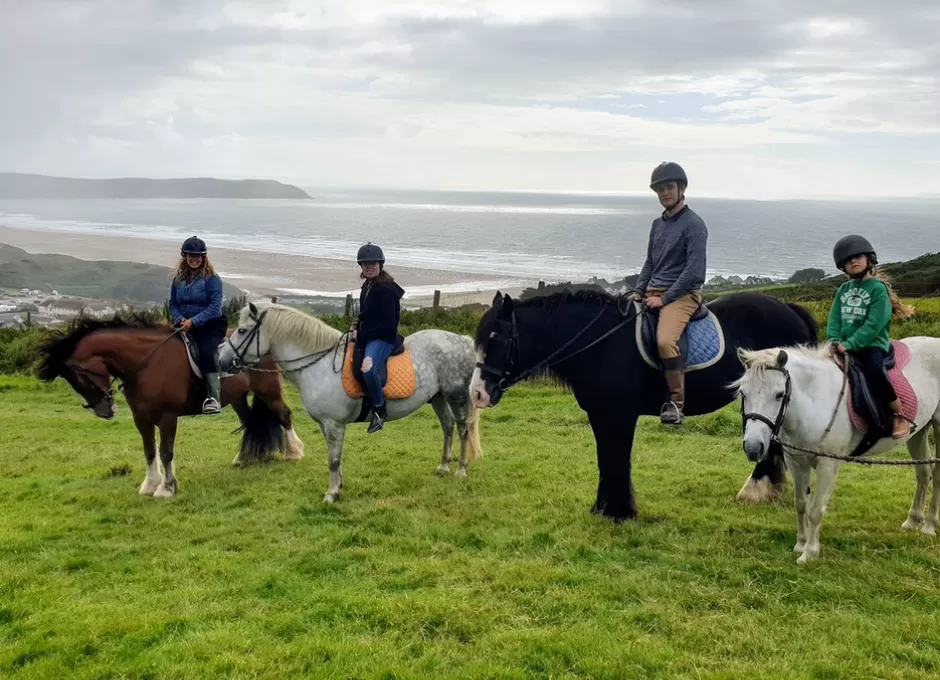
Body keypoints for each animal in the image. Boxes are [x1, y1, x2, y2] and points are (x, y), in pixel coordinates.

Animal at [33, 316, 302, 496]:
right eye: (72, 382)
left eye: (82, 378)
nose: (104, 411)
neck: (146, 362)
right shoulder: (141, 418)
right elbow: (149, 451)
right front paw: (149, 485)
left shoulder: (167, 417)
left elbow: (166, 452)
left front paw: (166, 488)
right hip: (238, 397)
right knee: (249, 422)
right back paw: (245, 458)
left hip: (268, 391)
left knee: (284, 415)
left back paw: (293, 452)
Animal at [219, 300, 482, 502]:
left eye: (242, 331)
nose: (221, 361)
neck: (320, 364)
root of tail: (464, 341)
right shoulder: (326, 425)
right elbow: (335, 458)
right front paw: (339, 486)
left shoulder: (334, 423)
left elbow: (333, 459)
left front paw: (331, 494)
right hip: (438, 397)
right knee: (447, 427)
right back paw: (444, 466)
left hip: (456, 395)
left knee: (462, 429)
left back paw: (460, 470)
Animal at [474, 290, 820, 520]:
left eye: (496, 339)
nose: (478, 393)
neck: (600, 344)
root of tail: (789, 308)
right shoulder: (600, 415)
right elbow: (606, 459)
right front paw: (603, 508)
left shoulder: (620, 415)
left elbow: (618, 459)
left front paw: (619, 512)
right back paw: (765, 488)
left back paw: (755, 489)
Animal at [740, 340, 940, 564]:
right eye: (743, 393)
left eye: (779, 394)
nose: (753, 447)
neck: (815, 401)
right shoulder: (796, 462)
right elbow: (800, 504)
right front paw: (800, 544)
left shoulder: (828, 465)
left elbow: (815, 510)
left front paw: (809, 553)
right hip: (918, 433)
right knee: (923, 473)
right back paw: (913, 521)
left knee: (936, 475)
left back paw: (929, 525)